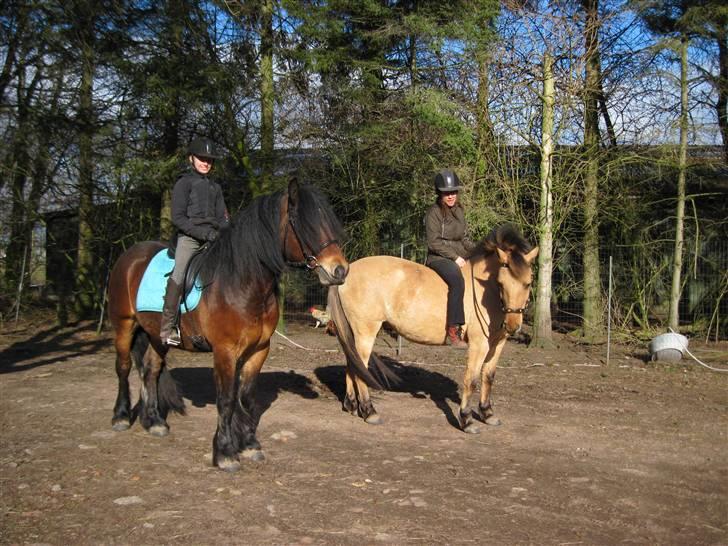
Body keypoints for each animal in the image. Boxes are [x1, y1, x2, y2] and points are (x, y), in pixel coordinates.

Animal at [106, 177, 364, 468]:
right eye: (304, 223)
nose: (340, 270)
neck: (241, 283)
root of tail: (130, 256)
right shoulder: (225, 351)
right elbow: (227, 399)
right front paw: (226, 452)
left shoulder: (259, 350)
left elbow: (247, 397)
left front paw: (249, 444)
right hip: (124, 325)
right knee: (124, 367)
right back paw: (121, 417)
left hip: (155, 335)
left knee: (150, 369)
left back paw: (154, 422)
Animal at [328, 223, 536, 432]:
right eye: (501, 283)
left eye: (527, 283)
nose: (512, 325)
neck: (487, 292)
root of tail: (347, 272)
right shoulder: (479, 345)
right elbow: (471, 380)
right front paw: (466, 419)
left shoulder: (497, 343)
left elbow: (489, 376)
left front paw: (487, 413)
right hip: (366, 331)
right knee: (360, 366)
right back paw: (369, 410)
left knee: (352, 363)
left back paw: (352, 405)